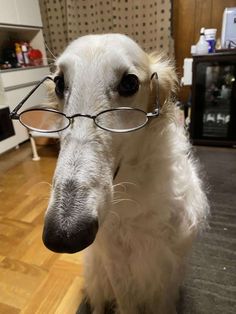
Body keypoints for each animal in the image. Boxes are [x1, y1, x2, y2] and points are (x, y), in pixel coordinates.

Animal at [42, 34, 208, 314]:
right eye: (59, 83)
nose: (64, 235)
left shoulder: (167, 271)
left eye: (129, 82)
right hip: (97, 276)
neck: (132, 189)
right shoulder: (117, 268)